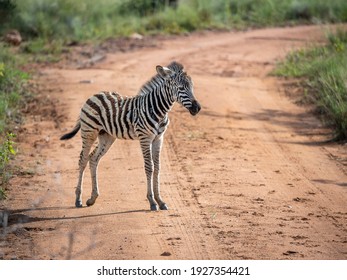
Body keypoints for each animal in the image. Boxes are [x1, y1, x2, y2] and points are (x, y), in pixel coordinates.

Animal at [60, 61, 201, 210]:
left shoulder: (158, 139)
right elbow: (149, 167)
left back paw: (92, 198)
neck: (158, 111)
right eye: (181, 88)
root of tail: (95, 94)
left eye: (192, 87)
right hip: (89, 132)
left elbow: (157, 167)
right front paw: (152, 201)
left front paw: (160, 201)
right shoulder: (145, 138)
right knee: (82, 159)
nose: (197, 108)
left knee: (93, 158)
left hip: (106, 136)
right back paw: (78, 199)